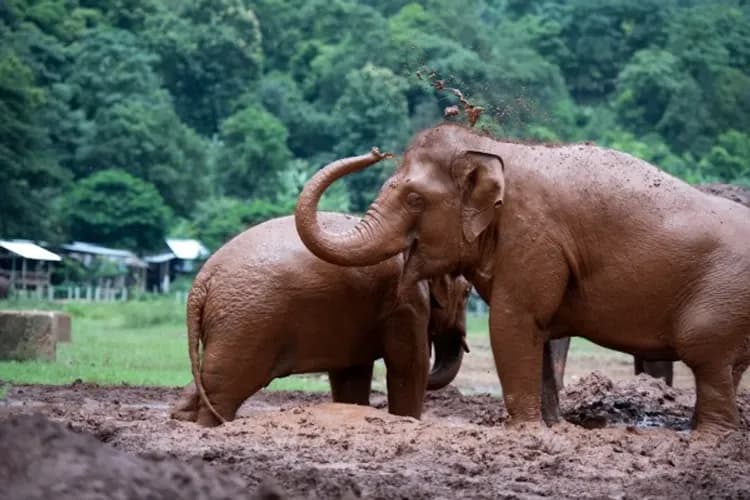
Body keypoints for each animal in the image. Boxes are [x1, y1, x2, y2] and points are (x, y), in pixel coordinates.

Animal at [170, 213, 471, 427]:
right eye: (468, 292)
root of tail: (202, 282)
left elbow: (351, 371)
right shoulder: (407, 303)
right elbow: (409, 365)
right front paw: (407, 420)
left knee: (207, 381)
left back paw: (183, 418)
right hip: (245, 323)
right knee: (224, 390)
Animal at [295, 123, 750, 433]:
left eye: (414, 199)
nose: (375, 149)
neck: (498, 150)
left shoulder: (534, 235)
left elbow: (513, 321)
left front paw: (524, 430)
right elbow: (540, 331)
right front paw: (553, 428)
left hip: (720, 296)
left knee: (707, 356)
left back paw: (708, 436)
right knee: (727, 364)